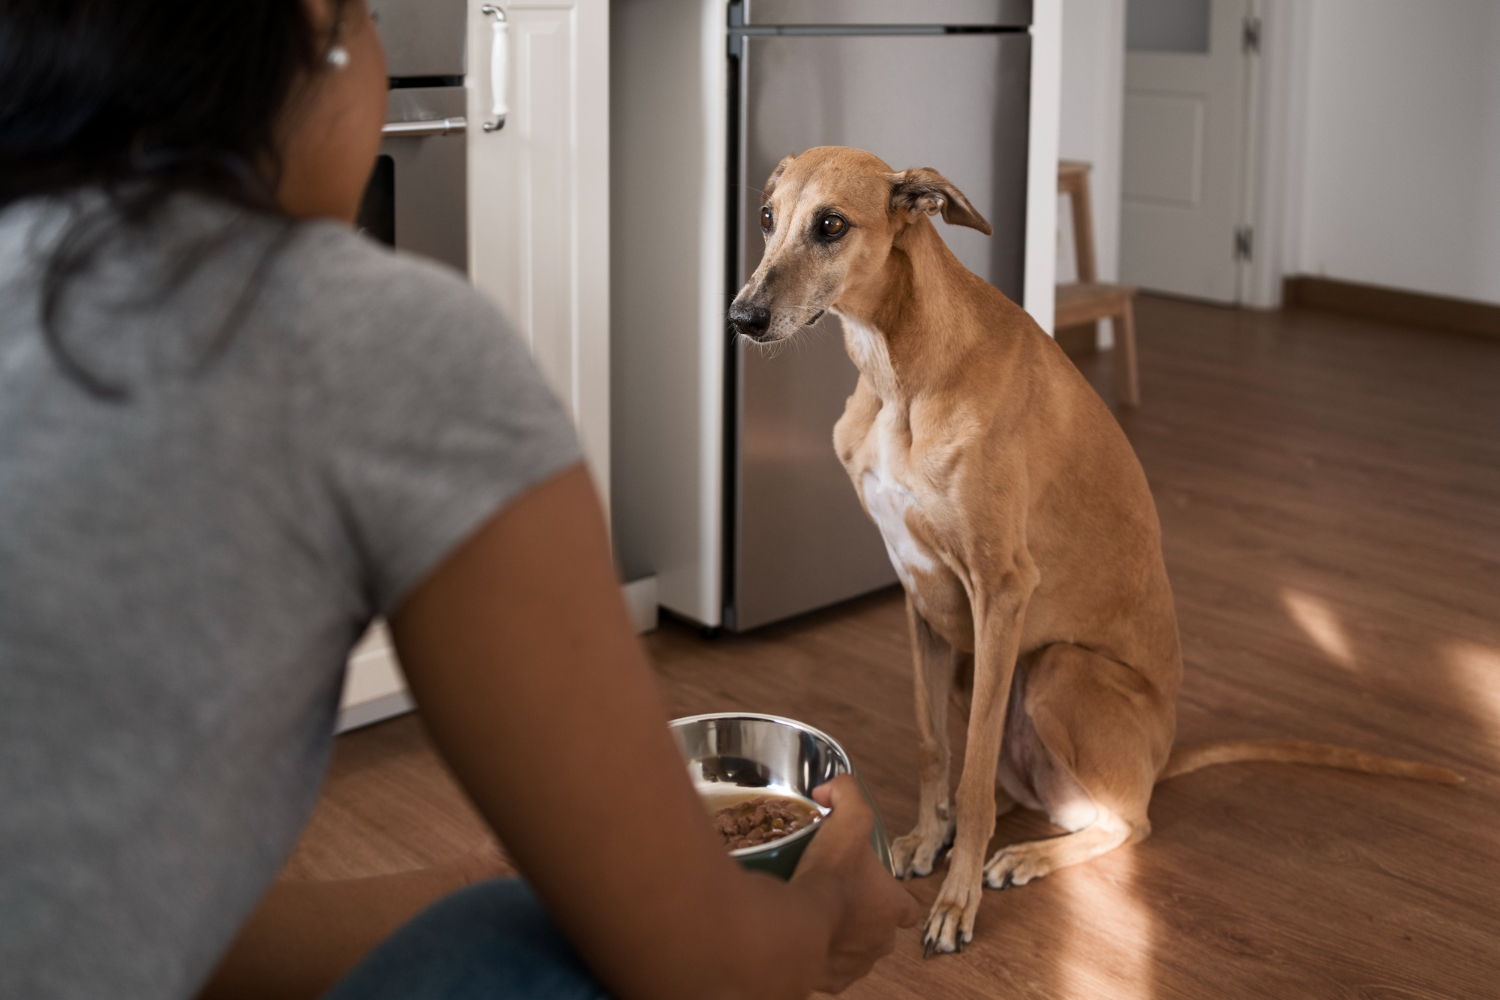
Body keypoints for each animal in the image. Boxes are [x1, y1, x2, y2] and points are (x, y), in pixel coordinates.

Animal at [729, 146, 1464, 953]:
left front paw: (955, 902)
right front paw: (927, 837)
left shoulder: (1002, 589)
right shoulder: (919, 594)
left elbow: (973, 772)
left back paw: (1021, 855)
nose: (741, 318)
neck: (902, 374)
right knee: (1071, 803)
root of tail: (1161, 758)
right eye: (766, 218)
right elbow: (934, 747)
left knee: (1127, 822)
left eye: (831, 225)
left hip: (1057, 669)